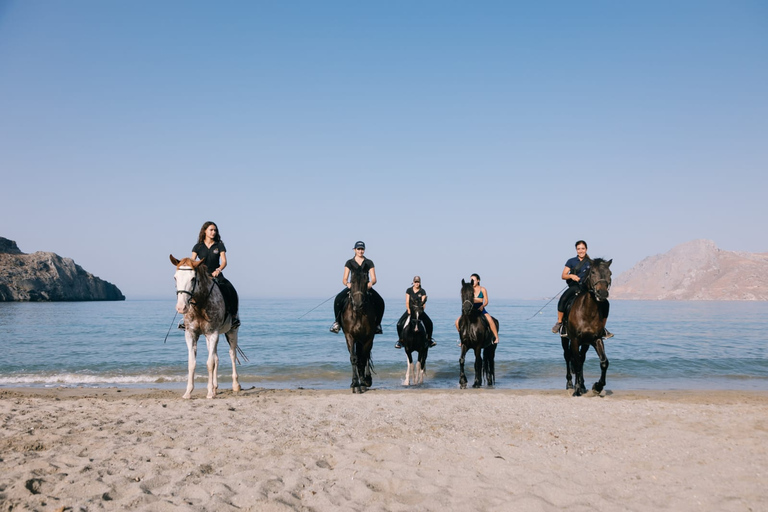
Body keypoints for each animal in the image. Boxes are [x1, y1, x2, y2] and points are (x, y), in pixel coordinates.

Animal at [172, 256, 242, 400]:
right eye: (175, 278)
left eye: (193, 278)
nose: (181, 307)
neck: (200, 305)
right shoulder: (191, 334)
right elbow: (192, 363)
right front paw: (188, 392)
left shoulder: (213, 333)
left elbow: (210, 363)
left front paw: (209, 393)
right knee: (216, 357)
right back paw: (215, 387)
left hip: (232, 331)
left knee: (232, 354)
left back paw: (235, 385)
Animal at [560, 258, 612, 398]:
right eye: (593, 272)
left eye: (610, 273)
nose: (602, 293)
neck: (588, 312)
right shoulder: (574, 340)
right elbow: (576, 363)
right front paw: (576, 389)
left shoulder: (596, 339)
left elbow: (604, 362)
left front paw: (597, 387)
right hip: (565, 339)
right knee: (568, 356)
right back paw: (570, 384)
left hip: (585, 344)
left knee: (581, 358)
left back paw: (582, 385)